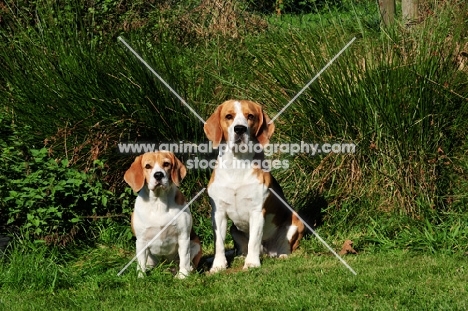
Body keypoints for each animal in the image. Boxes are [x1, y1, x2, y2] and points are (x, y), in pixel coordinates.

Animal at [123, 152, 202, 280]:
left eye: (166, 164)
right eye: (148, 166)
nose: (158, 175)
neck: (159, 203)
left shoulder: (183, 236)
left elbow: (184, 258)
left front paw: (183, 276)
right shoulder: (141, 240)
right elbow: (141, 262)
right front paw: (141, 277)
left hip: (196, 245)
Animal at [203, 100, 306, 272]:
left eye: (250, 116)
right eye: (229, 116)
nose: (239, 129)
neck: (237, 165)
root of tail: (267, 251)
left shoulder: (257, 211)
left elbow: (254, 240)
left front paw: (251, 263)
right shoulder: (218, 213)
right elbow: (219, 244)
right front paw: (218, 265)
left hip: (296, 222)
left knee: (285, 245)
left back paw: (281, 255)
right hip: (233, 229)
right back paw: (240, 256)